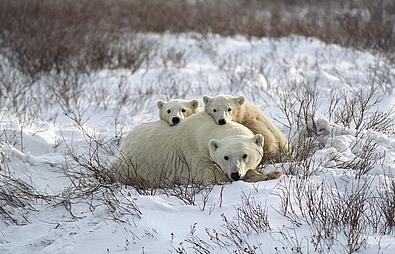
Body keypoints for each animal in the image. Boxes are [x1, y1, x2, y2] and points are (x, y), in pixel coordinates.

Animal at [110, 111, 282, 187]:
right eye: (225, 157)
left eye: (245, 155)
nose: (235, 174)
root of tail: (125, 140)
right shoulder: (194, 154)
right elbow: (210, 175)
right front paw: (263, 176)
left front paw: (272, 173)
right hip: (131, 163)